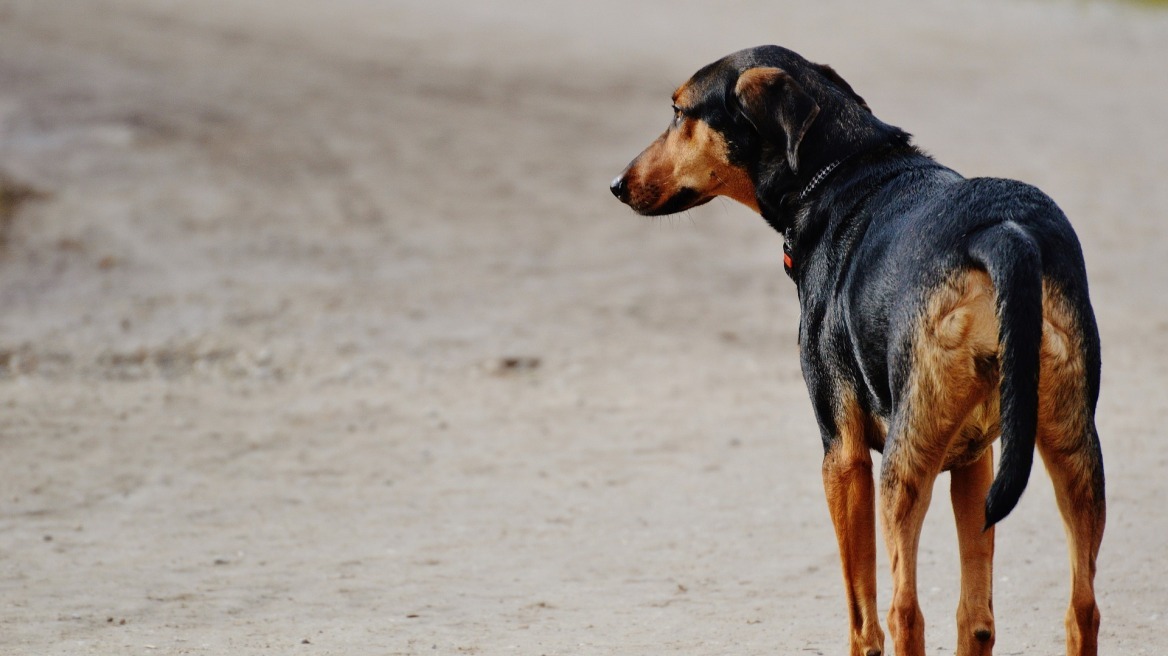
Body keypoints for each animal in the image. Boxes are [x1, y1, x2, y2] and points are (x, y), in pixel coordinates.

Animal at [612, 46, 1102, 653]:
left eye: (680, 112)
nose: (616, 184)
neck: (843, 171)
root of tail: (1001, 233)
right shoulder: (974, 460)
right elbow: (975, 613)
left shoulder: (841, 456)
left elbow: (861, 612)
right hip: (1073, 448)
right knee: (1075, 609)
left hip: (902, 466)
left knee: (904, 613)